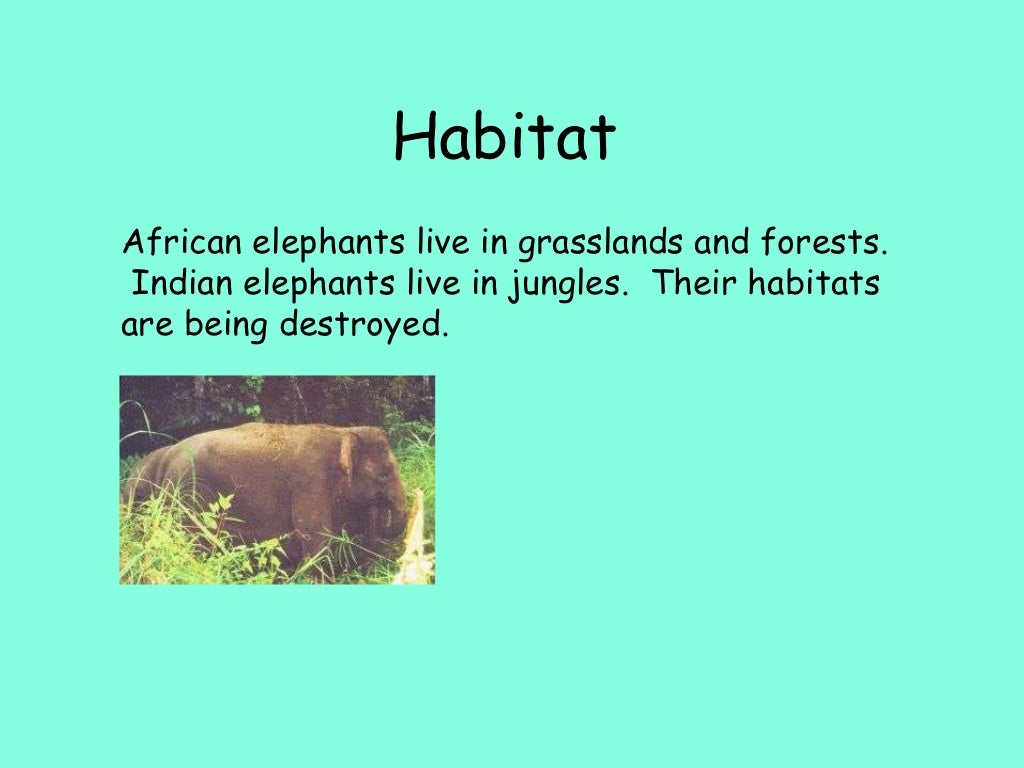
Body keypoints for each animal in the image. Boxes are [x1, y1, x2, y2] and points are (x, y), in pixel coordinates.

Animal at [122, 423, 408, 567]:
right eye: (384, 473)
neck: (340, 431)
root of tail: (168, 455)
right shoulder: (310, 480)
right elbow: (315, 537)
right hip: (189, 494)